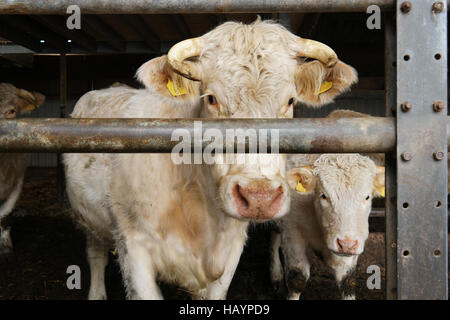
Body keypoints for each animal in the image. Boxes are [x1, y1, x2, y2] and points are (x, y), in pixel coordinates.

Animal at [65, 19, 356, 300]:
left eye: (290, 100)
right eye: (212, 99)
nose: (259, 196)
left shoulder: (230, 252)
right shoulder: (133, 246)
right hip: (87, 217)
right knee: (96, 255)